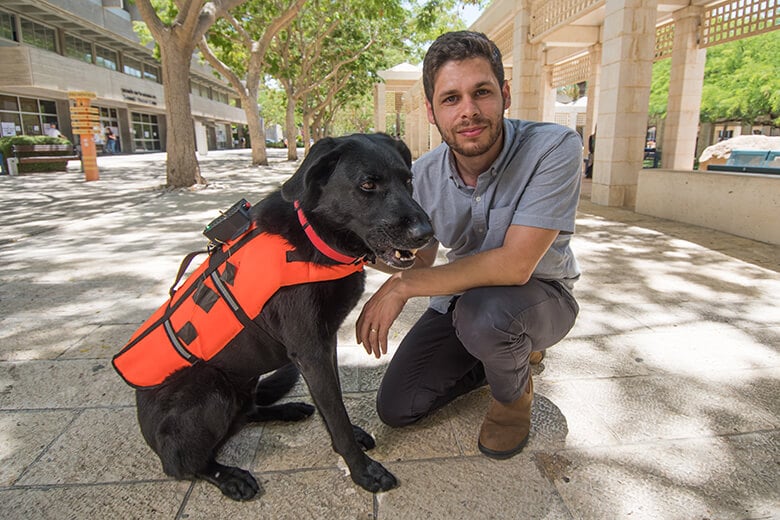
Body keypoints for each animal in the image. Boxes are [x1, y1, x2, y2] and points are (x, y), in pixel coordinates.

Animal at [133, 133, 432, 500]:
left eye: (408, 181)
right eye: (367, 184)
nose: (427, 233)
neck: (316, 236)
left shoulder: (324, 344)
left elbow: (332, 406)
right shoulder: (310, 350)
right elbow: (335, 412)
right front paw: (363, 471)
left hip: (244, 380)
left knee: (247, 413)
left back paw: (287, 410)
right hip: (210, 386)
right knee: (182, 464)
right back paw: (227, 476)